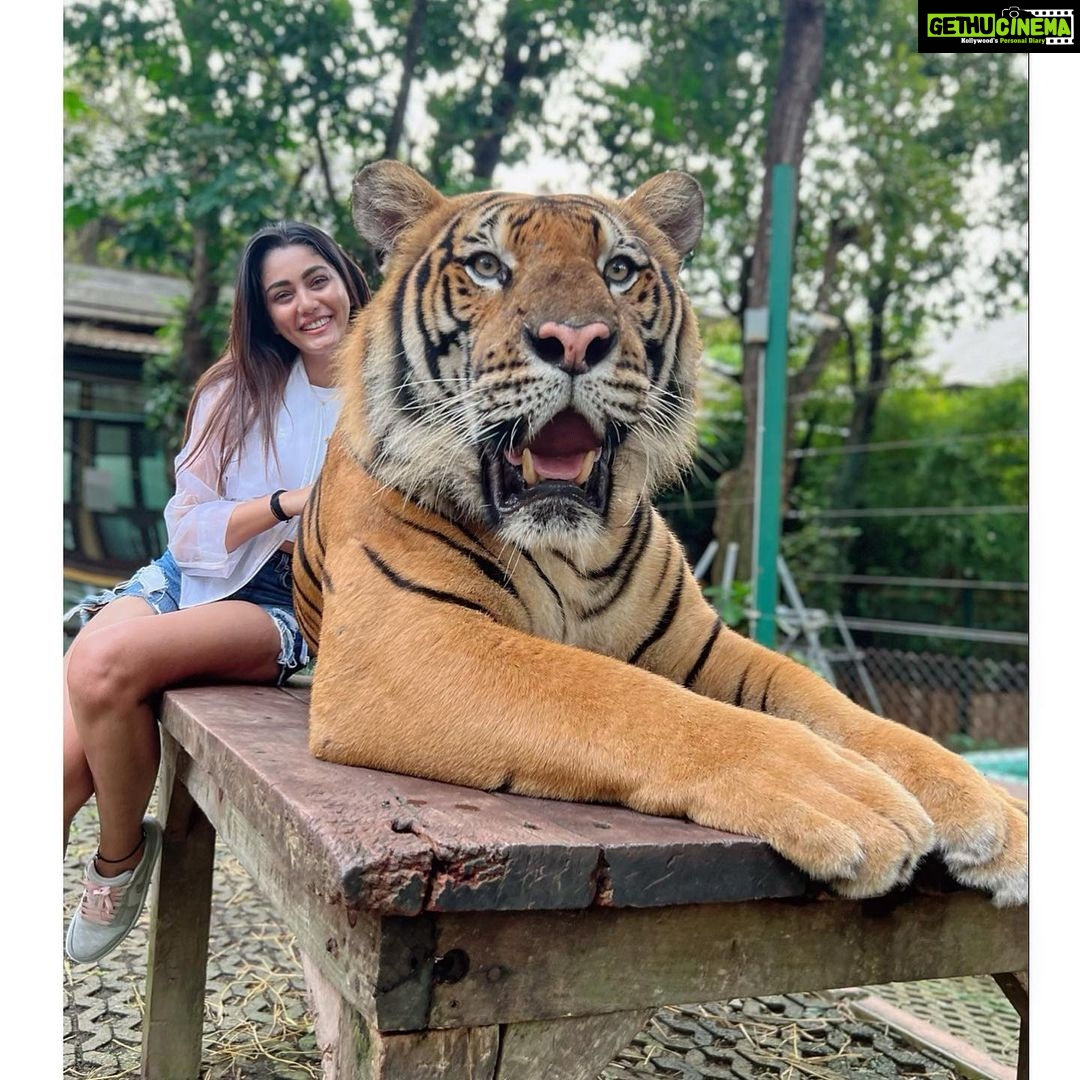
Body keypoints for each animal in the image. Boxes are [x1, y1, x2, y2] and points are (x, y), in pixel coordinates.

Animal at [293, 159, 1027, 907]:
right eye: (486, 266)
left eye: (618, 269)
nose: (576, 340)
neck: (570, 553)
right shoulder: (409, 634)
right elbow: (625, 697)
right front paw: (854, 799)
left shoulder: (704, 647)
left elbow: (835, 705)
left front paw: (993, 808)